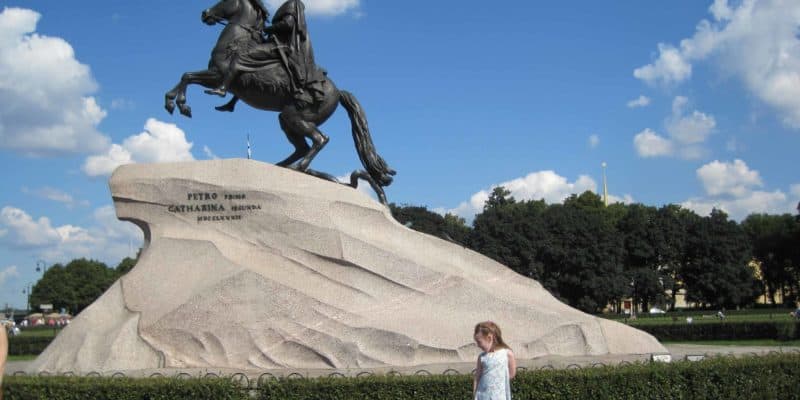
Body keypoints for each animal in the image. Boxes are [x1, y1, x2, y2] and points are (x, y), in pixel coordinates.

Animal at [164, 0, 396, 203]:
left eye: (224, 0)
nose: (204, 14)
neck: (237, 41)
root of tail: (338, 92)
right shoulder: (214, 75)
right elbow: (186, 76)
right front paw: (173, 102)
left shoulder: (217, 75)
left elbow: (189, 76)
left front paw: (181, 104)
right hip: (285, 119)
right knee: (303, 146)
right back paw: (280, 165)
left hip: (295, 116)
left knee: (320, 139)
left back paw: (298, 168)